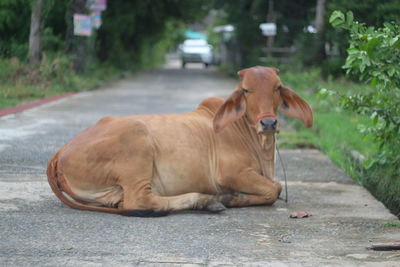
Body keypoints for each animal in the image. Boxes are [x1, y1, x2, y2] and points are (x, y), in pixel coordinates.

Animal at [47, 66, 312, 217]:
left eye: (277, 87)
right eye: (246, 90)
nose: (268, 123)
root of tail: (60, 152)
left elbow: (275, 187)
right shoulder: (230, 173)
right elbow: (274, 189)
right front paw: (230, 198)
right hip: (137, 142)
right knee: (140, 201)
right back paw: (208, 201)